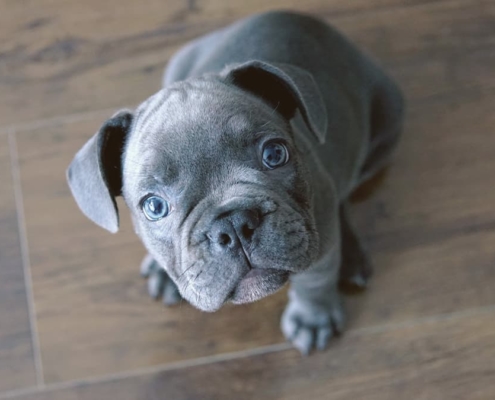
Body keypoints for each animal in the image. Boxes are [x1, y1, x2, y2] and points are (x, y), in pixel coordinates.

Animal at [68, 10, 404, 354]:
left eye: (274, 154)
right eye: (154, 206)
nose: (232, 224)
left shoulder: (319, 244)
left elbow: (315, 279)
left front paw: (312, 318)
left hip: (386, 127)